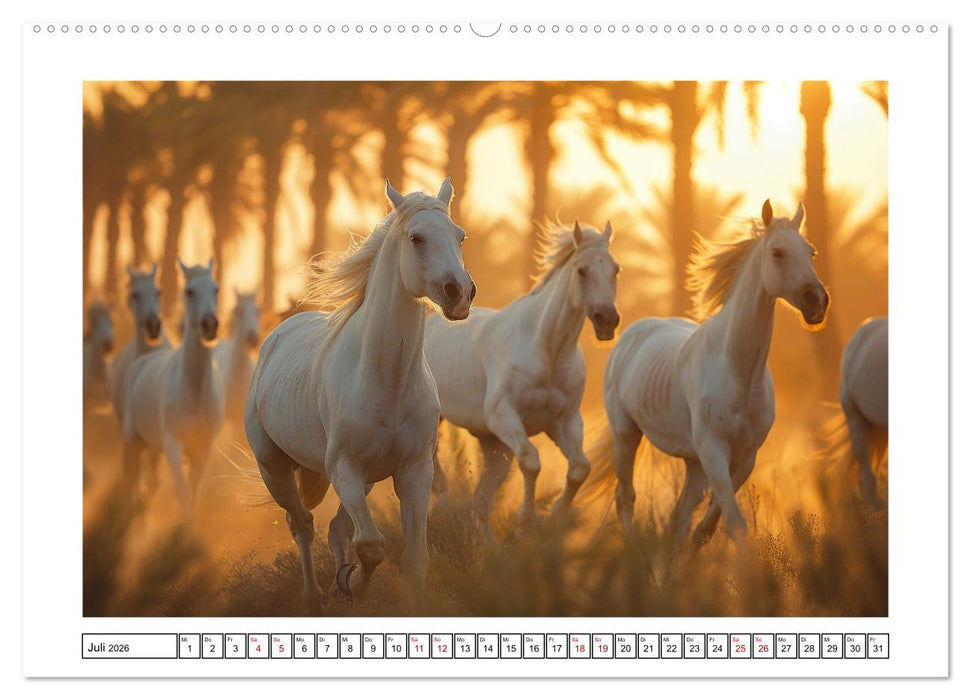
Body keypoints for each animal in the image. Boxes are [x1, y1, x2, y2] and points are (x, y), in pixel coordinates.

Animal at [121, 259, 224, 516]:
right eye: (189, 291)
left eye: (216, 289)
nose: (210, 325)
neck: (193, 388)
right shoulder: (172, 445)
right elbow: (182, 492)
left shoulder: (202, 447)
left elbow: (192, 491)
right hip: (132, 440)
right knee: (131, 479)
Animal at [244, 178, 475, 612]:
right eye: (416, 238)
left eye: (460, 235)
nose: (460, 293)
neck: (388, 380)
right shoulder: (345, 470)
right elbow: (371, 546)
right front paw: (351, 583)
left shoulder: (414, 471)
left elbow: (414, 557)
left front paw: (351, 583)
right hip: (274, 469)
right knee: (302, 525)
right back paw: (315, 598)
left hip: (362, 480)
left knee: (335, 529)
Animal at [425, 220, 620, 528]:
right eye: (582, 270)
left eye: (616, 269)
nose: (607, 321)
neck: (548, 350)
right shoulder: (503, 415)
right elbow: (531, 461)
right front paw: (526, 519)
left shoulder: (565, 422)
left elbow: (579, 468)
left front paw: (556, 516)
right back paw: (443, 500)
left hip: (493, 444)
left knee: (482, 503)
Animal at [584, 200, 829, 546]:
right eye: (777, 252)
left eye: (811, 252)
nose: (817, 301)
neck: (739, 372)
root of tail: (631, 334)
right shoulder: (713, 450)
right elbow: (735, 523)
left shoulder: (745, 457)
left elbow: (707, 527)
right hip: (626, 436)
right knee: (625, 498)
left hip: (692, 463)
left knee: (678, 516)